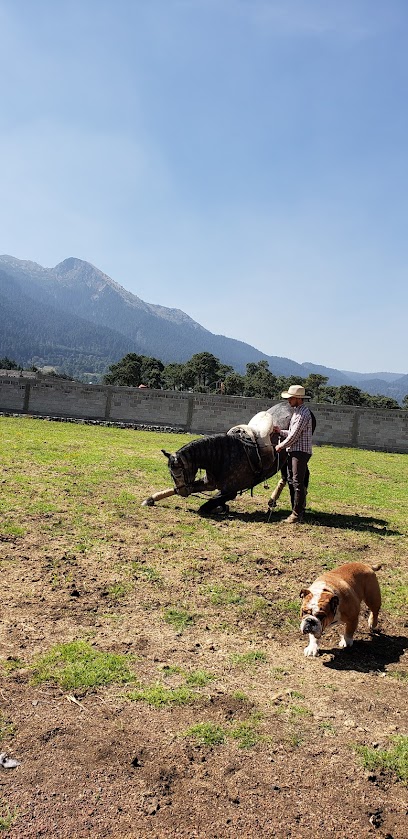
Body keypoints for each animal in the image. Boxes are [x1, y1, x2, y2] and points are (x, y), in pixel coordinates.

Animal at [142, 404, 292, 516]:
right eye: (171, 474)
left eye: (181, 473)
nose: (183, 492)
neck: (222, 457)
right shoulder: (208, 483)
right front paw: (150, 499)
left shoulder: (230, 491)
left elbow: (208, 504)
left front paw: (220, 508)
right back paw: (272, 501)